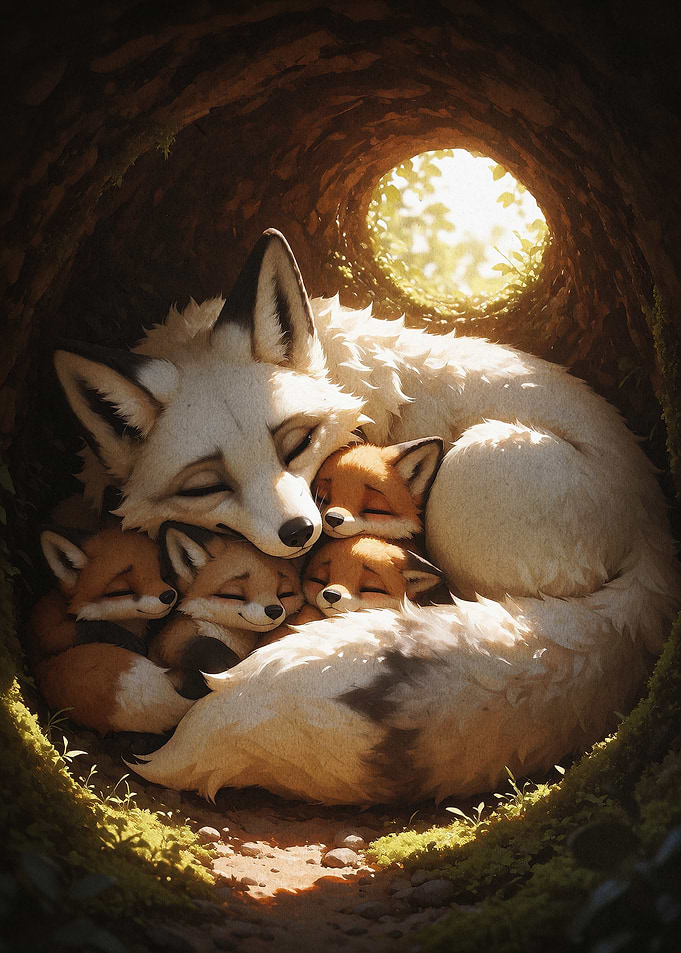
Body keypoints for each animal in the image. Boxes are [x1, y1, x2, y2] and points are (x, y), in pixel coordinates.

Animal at [29, 526, 193, 735]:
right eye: (120, 591)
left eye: (164, 575)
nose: (168, 596)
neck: (130, 625)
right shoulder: (44, 623)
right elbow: (69, 630)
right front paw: (128, 640)